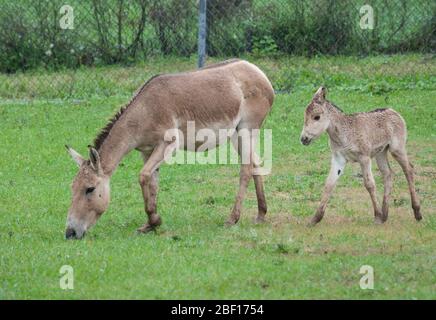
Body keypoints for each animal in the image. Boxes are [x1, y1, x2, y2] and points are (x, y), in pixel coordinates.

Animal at [65, 59, 272, 240]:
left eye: (90, 189)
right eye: (72, 188)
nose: (70, 233)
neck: (144, 110)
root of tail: (257, 71)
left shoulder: (168, 145)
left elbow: (143, 176)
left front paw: (154, 220)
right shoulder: (147, 151)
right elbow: (152, 183)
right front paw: (150, 224)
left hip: (247, 129)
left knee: (246, 169)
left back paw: (232, 218)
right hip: (236, 135)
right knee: (256, 163)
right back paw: (261, 214)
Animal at [302, 87, 420, 225]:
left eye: (317, 117)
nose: (303, 139)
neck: (342, 133)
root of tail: (393, 111)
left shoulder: (364, 158)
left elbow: (369, 184)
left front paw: (377, 216)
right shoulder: (338, 159)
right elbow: (329, 184)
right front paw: (315, 219)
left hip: (397, 149)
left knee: (409, 170)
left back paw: (417, 212)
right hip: (381, 152)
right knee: (388, 173)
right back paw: (385, 215)